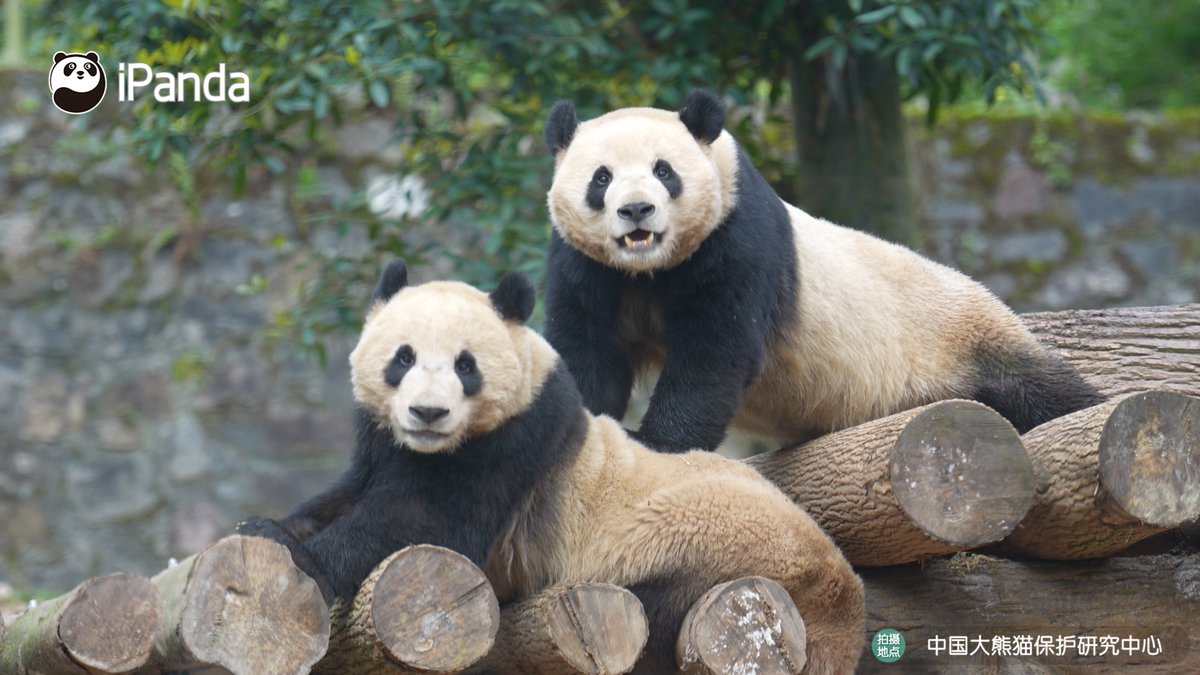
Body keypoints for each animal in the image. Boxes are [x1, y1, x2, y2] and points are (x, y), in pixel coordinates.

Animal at [241, 260, 865, 674]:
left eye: (466, 366)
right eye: (403, 357)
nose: (428, 412)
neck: (436, 447)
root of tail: (842, 594)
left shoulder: (516, 444)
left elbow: (425, 521)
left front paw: (304, 558)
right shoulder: (381, 440)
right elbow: (352, 490)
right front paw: (264, 526)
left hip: (714, 547)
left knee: (657, 611)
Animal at [542, 89, 1106, 453]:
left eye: (664, 171)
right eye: (601, 178)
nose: (636, 210)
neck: (649, 269)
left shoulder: (737, 238)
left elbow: (715, 349)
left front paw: (655, 440)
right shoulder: (587, 265)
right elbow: (590, 349)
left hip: (963, 333)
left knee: (1041, 389)